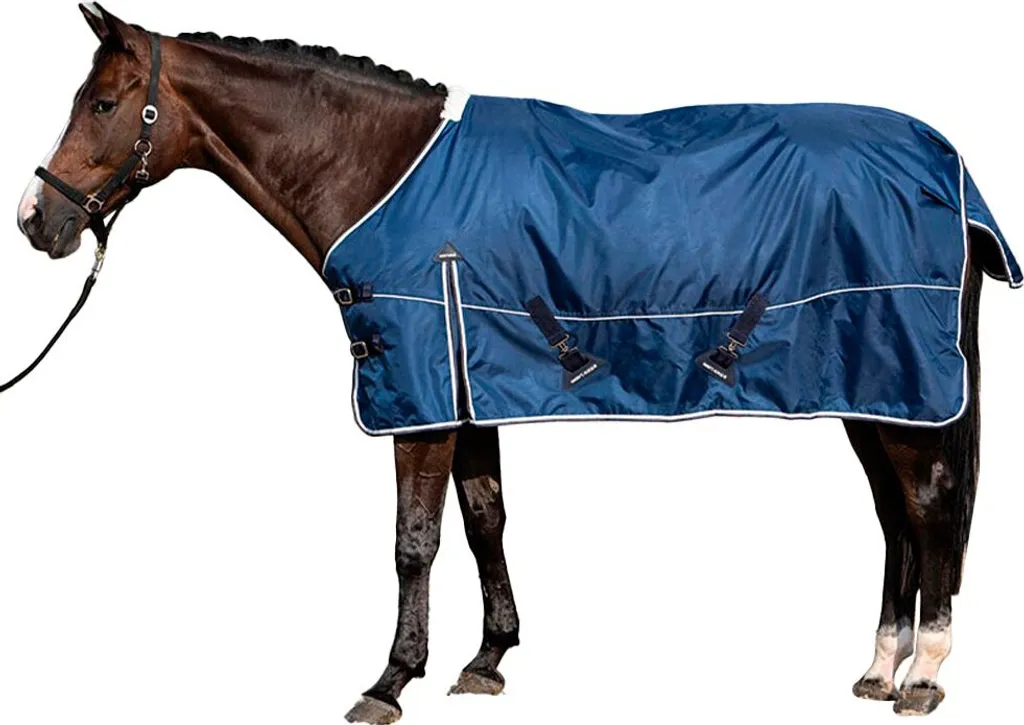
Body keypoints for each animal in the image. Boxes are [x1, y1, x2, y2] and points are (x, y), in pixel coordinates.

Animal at [13, 5, 1019, 722]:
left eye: (101, 104)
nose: (37, 220)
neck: (382, 172)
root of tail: (950, 168)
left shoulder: (417, 392)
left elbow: (413, 540)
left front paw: (389, 681)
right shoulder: (469, 383)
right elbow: (485, 517)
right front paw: (487, 659)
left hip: (902, 386)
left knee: (930, 507)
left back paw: (924, 673)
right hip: (873, 388)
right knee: (897, 517)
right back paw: (879, 667)